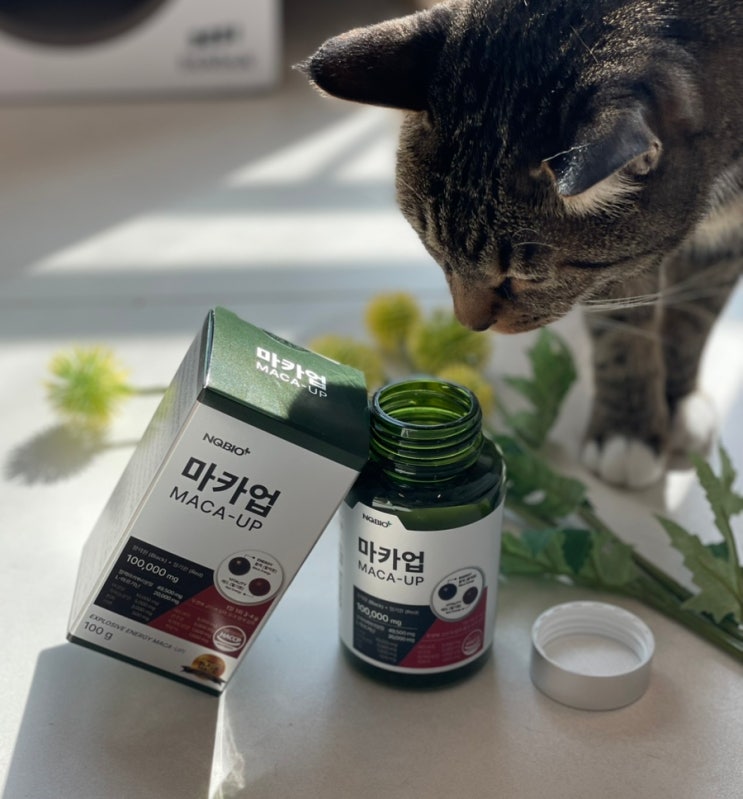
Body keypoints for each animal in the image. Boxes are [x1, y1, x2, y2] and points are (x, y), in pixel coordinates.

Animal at [300, 0, 743, 489]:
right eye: (434, 247)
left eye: (527, 278)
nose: (469, 324)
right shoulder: (615, 276)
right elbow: (625, 327)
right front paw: (628, 429)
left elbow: (694, 314)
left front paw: (675, 401)